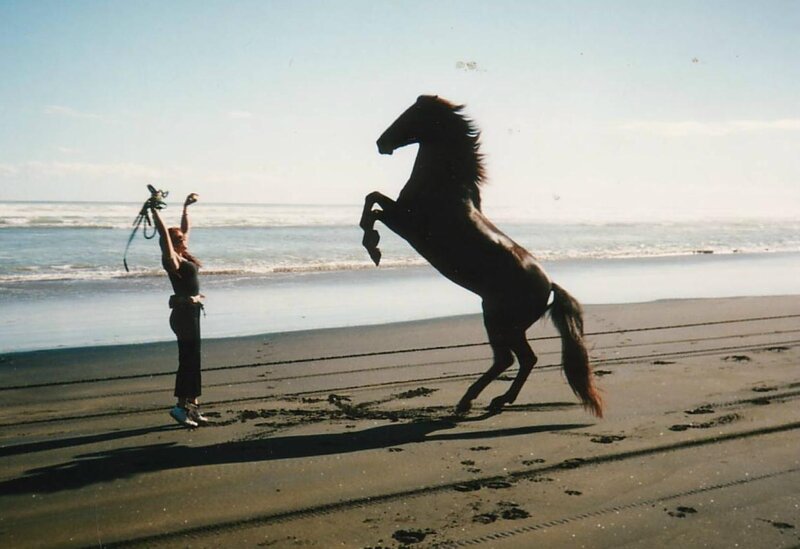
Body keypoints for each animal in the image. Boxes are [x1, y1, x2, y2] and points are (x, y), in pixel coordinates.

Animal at [359, 95, 603, 417]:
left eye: (413, 114)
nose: (381, 143)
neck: (444, 187)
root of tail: (549, 286)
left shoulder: (406, 222)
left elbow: (372, 203)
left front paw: (373, 247)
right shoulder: (401, 218)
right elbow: (373, 201)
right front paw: (373, 245)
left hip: (500, 320)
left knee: (515, 359)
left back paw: (474, 401)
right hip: (503, 322)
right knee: (518, 359)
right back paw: (489, 401)